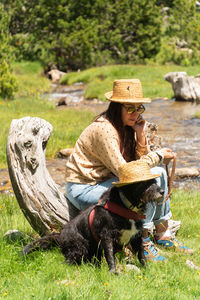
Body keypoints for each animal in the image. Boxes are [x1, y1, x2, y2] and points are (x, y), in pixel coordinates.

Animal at [21, 178, 163, 274]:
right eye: (144, 183)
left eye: (154, 181)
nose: (162, 191)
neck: (126, 208)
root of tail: (60, 235)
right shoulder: (107, 236)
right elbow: (110, 256)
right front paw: (113, 272)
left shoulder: (136, 237)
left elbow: (141, 254)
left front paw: (146, 269)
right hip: (80, 247)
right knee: (67, 262)